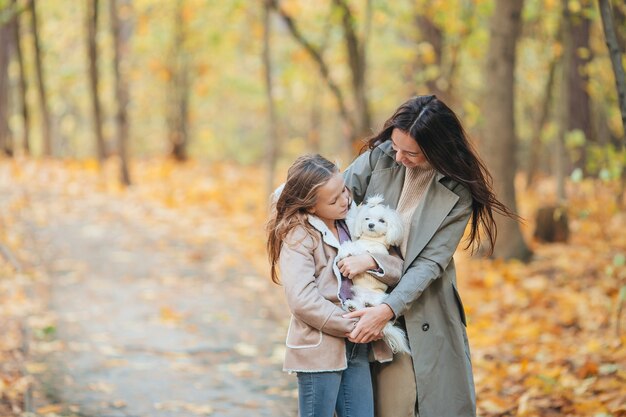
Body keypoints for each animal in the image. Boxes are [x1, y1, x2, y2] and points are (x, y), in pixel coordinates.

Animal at [336, 195, 410, 354]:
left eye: (382, 220)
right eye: (367, 218)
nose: (370, 225)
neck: (371, 240)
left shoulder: (372, 252)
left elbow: (360, 251)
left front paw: (346, 252)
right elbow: (354, 245)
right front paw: (344, 251)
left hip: (379, 300)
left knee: (371, 307)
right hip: (358, 297)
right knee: (359, 307)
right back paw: (352, 306)